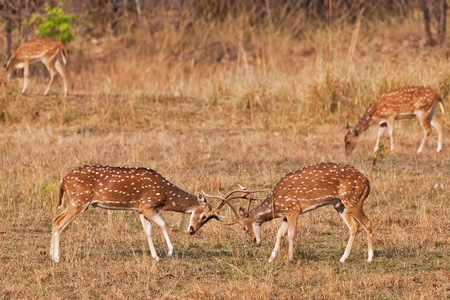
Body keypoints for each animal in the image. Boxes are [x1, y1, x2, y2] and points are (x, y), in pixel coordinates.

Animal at [50, 165, 219, 262]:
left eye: (209, 219)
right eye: (204, 216)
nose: (192, 231)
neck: (165, 195)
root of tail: (63, 181)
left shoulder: (141, 209)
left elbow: (147, 231)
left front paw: (155, 256)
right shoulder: (147, 205)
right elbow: (163, 224)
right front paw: (170, 252)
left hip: (75, 202)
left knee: (54, 219)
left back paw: (51, 255)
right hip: (78, 201)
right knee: (58, 222)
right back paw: (56, 257)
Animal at [204, 162, 372, 262]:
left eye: (244, 227)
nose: (256, 243)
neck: (277, 204)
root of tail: (367, 182)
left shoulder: (293, 209)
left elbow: (291, 233)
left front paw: (290, 259)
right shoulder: (285, 215)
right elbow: (279, 234)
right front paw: (271, 258)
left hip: (353, 200)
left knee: (367, 222)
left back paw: (369, 258)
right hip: (339, 205)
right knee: (354, 226)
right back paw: (343, 258)